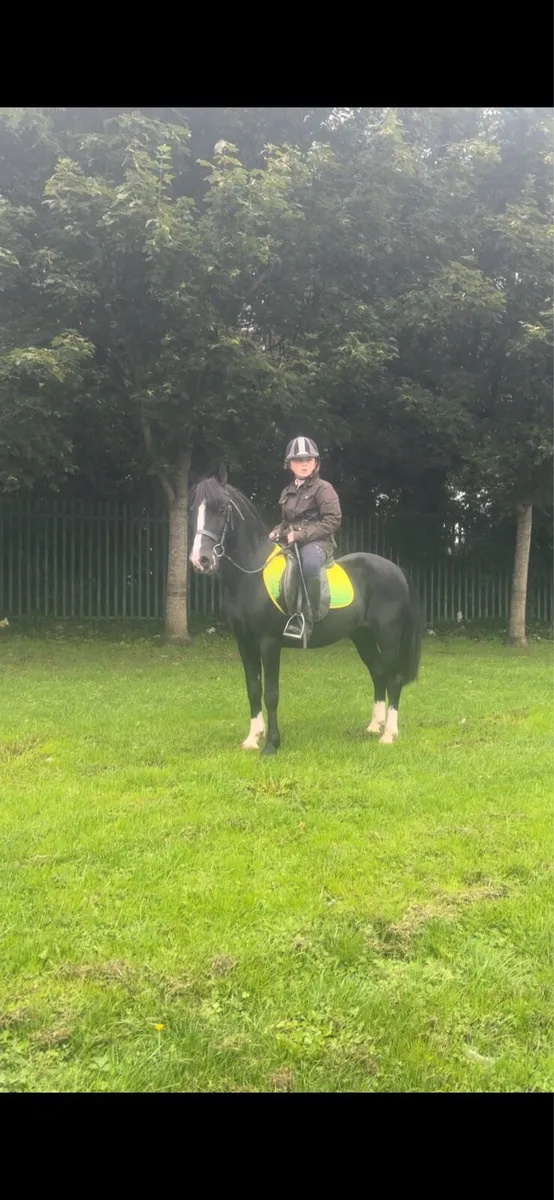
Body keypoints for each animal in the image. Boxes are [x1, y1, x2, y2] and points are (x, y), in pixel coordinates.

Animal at [189, 466, 422, 755]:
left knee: (393, 678)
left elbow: (271, 694)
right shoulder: (244, 643)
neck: (250, 575)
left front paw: (271, 744)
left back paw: (389, 733)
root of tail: (396, 569)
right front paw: (252, 739)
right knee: (378, 673)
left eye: (221, 508)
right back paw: (373, 726)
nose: (200, 560)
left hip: (388, 636)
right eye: (194, 510)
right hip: (362, 636)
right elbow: (253, 690)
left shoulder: (269, 642)